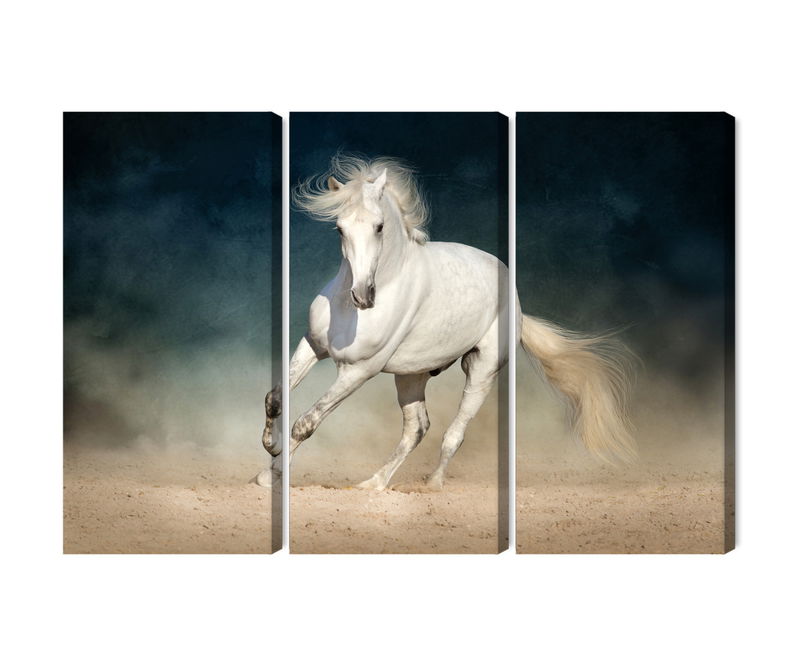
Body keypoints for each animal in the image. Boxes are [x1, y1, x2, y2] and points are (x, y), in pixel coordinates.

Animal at [256, 155, 635, 490]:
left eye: (379, 227)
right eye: (339, 228)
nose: (363, 296)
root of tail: (516, 304)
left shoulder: (358, 371)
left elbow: (305, 423)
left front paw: (272, 475)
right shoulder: (313, 346)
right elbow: (275, 399)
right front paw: (269, 459)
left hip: (481, 370)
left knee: (453, 432)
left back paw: (432, 484)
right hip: (411, 375)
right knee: (417, 429)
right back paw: (373, 484)